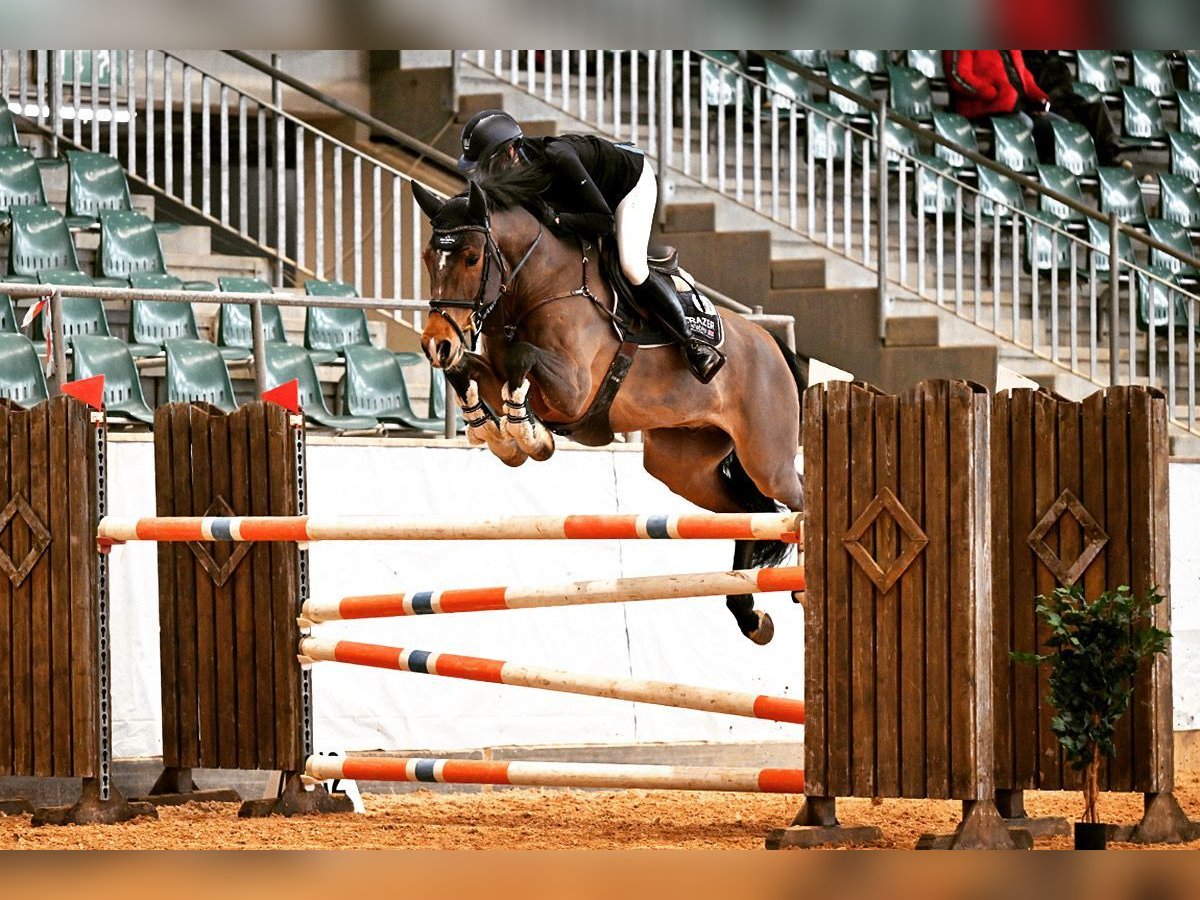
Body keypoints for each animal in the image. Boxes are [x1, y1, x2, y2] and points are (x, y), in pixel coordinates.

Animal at [411, 178, 805, 645]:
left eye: (472, 258)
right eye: (428, 257)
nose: (436, 344)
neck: (535, 286)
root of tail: (771, 343)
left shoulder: (573, 391)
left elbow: (522, 358)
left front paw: (529, 435)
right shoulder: (496, 371)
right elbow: (469, 371)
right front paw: (493, 429)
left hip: (766, 458)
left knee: (794, 494)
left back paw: (800, 586)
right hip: (681, 466)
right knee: (750, 512)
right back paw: (747, 613)